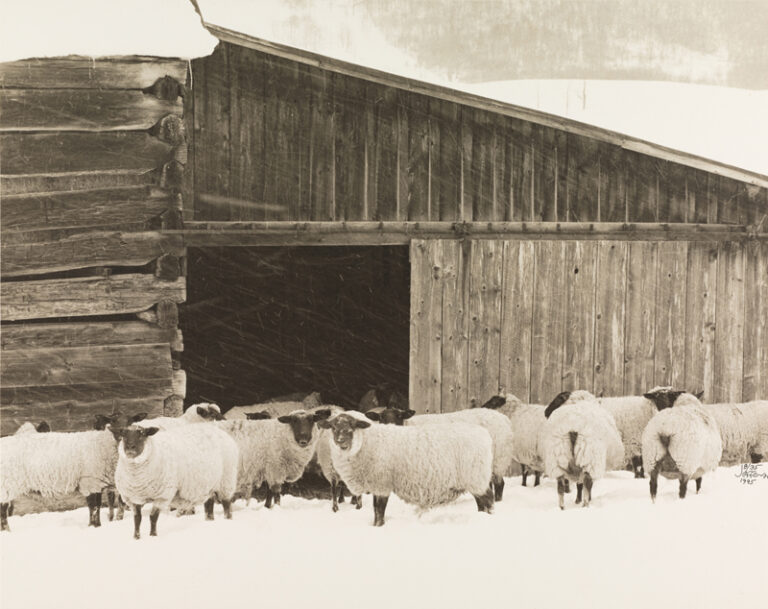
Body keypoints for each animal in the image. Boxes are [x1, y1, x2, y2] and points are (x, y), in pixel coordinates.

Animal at [0, 408, 146, 532]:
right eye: (113, 421)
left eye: (131, 421)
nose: (122, 437)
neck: (103, 443)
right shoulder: (89, 481)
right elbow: (93, 507)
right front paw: (94, 526)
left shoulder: (95, 482)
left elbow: (96, 506)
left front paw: (95, 526)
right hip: (6, 484)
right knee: (3, 510)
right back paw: (6, 531)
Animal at [109, 420, 238, 540]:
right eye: (123, 435)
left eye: (142, 434)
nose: (130, 448)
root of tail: (220, 431)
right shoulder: (133, 498)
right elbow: (137, 519)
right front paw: (136, 537)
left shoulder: (162, 496)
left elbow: (153, 517)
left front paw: (153, 536)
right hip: (208, 485)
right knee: (209, 505)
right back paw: (209, 521)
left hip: (226, 481)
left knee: (227, 505)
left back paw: (227, 519)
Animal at [316, 410, 492, 524]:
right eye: (333, 427)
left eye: (352, 426)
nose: (341, 442)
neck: (365, 443)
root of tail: (485, 434)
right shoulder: (376, 484)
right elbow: (375, 511)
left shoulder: (382, 483)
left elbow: (379, 511)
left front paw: (378, 527)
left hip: (476, 477)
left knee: (487, 501)